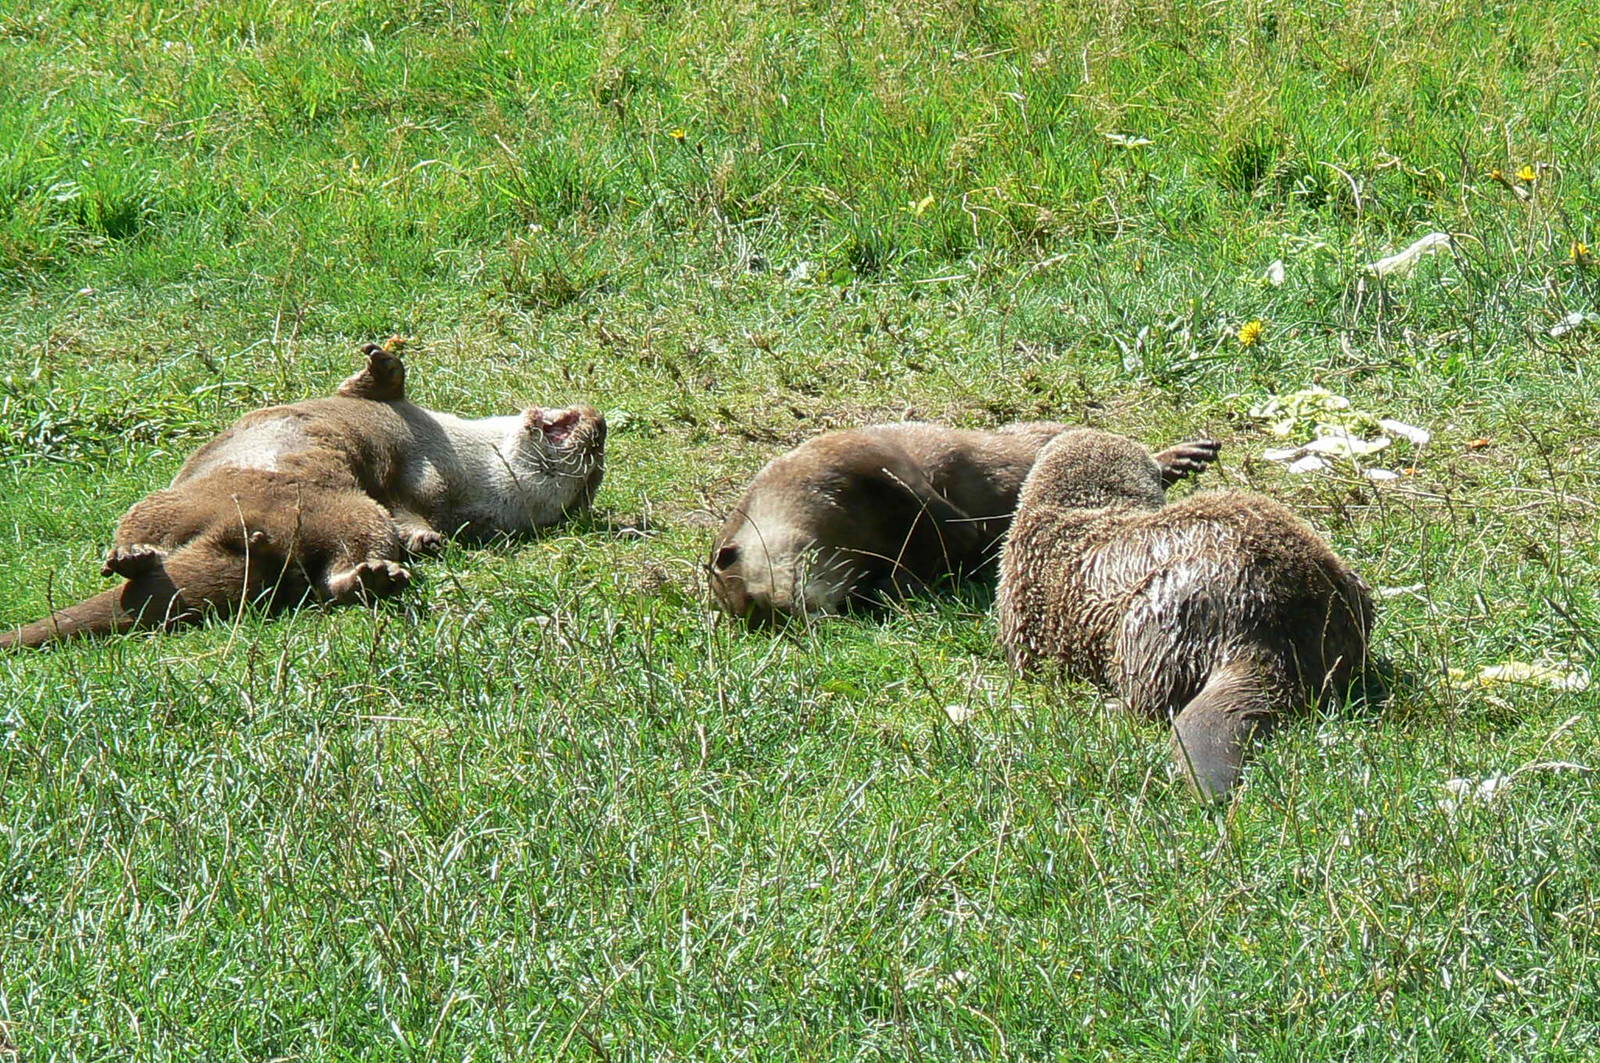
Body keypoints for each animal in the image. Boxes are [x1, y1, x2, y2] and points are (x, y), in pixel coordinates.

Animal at [1, 346, 605, 649]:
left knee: (330, 572)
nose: (600, 426)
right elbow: (374, 400)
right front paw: (424, 537)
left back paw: (372, 577)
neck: (450, 457)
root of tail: (255, 540)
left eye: (590, 475)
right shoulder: (403, 443)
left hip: (323, 508)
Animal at [707, 422, 1220, 623]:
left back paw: (1183, 458)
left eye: (759, 595)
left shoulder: (857, 455)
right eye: (761, 614)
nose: (791, 611)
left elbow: (943, 514)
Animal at [996, 429, 1373, 800]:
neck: (1080, 513)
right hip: (1354, 593)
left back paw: (1109, 704)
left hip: (1154, 621)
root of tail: (1274, 630)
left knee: (1152, 701)